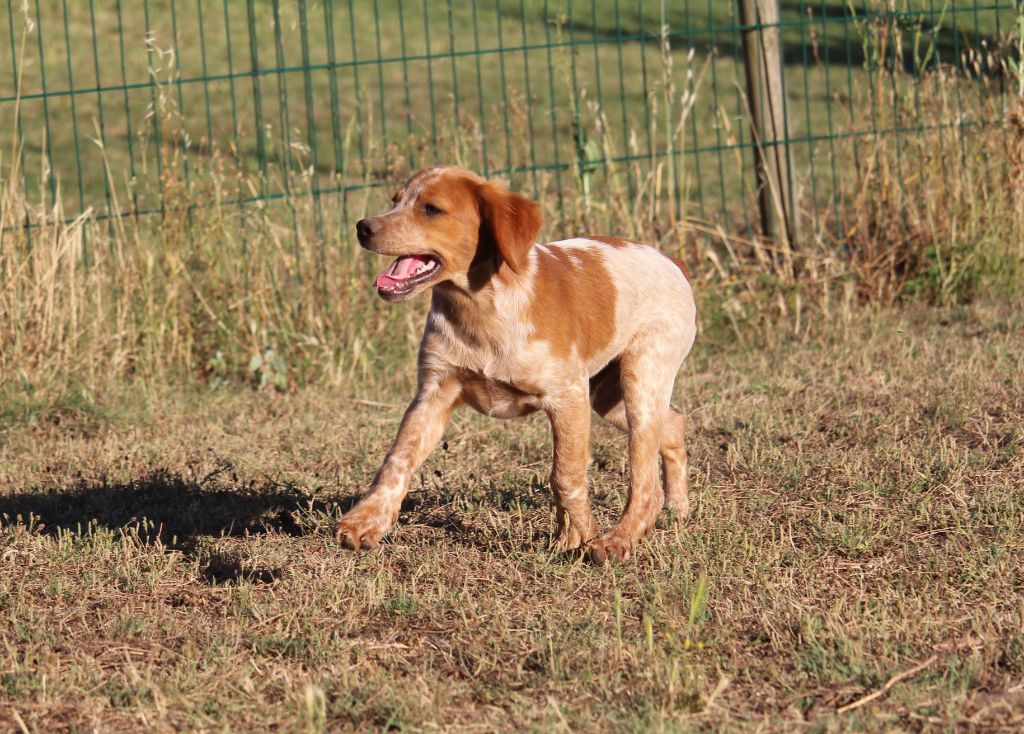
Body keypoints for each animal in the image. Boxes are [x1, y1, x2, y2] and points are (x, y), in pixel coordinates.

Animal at [339, 165, 700, 560]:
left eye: (431, 209)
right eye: (395, 201)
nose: (362, 226)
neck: (478, 308)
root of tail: (673, 263)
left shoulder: (567, 397)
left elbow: (565, 475)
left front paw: (575, 536)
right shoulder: (433, 393)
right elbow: (397, 459)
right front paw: (365, 522)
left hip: (641, 379)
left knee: (645, 479)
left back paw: (618, 539)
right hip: (608, 396)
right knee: (673, 426)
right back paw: (678, 508)